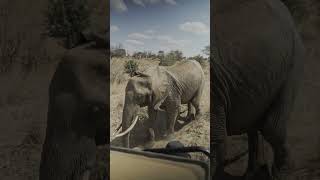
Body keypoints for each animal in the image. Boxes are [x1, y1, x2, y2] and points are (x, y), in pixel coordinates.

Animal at [212, 0, 304, 180]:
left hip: (292, 59)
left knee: (271, 127)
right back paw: (254, 173)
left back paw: (282, 172)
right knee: (255, 125)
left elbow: (215, 141)